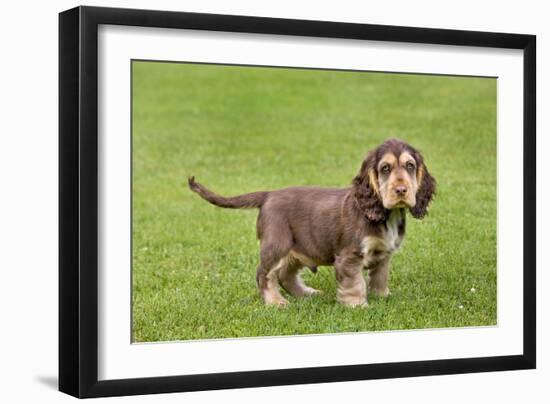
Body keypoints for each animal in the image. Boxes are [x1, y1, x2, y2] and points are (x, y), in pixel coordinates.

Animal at [188, 139, 438, 306]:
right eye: (385, 168)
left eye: (410, 166)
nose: (401, 190)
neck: (386, 214)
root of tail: (268, 195)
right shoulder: (349, 255)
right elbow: (355, 283)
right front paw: (358, 305)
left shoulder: (384, 253)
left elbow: (379, 276)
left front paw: (382, 296)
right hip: (277, 243)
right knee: (264, 274)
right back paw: (275, 302)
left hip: (298, 247)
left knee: (285, 275)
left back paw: (306, 294)